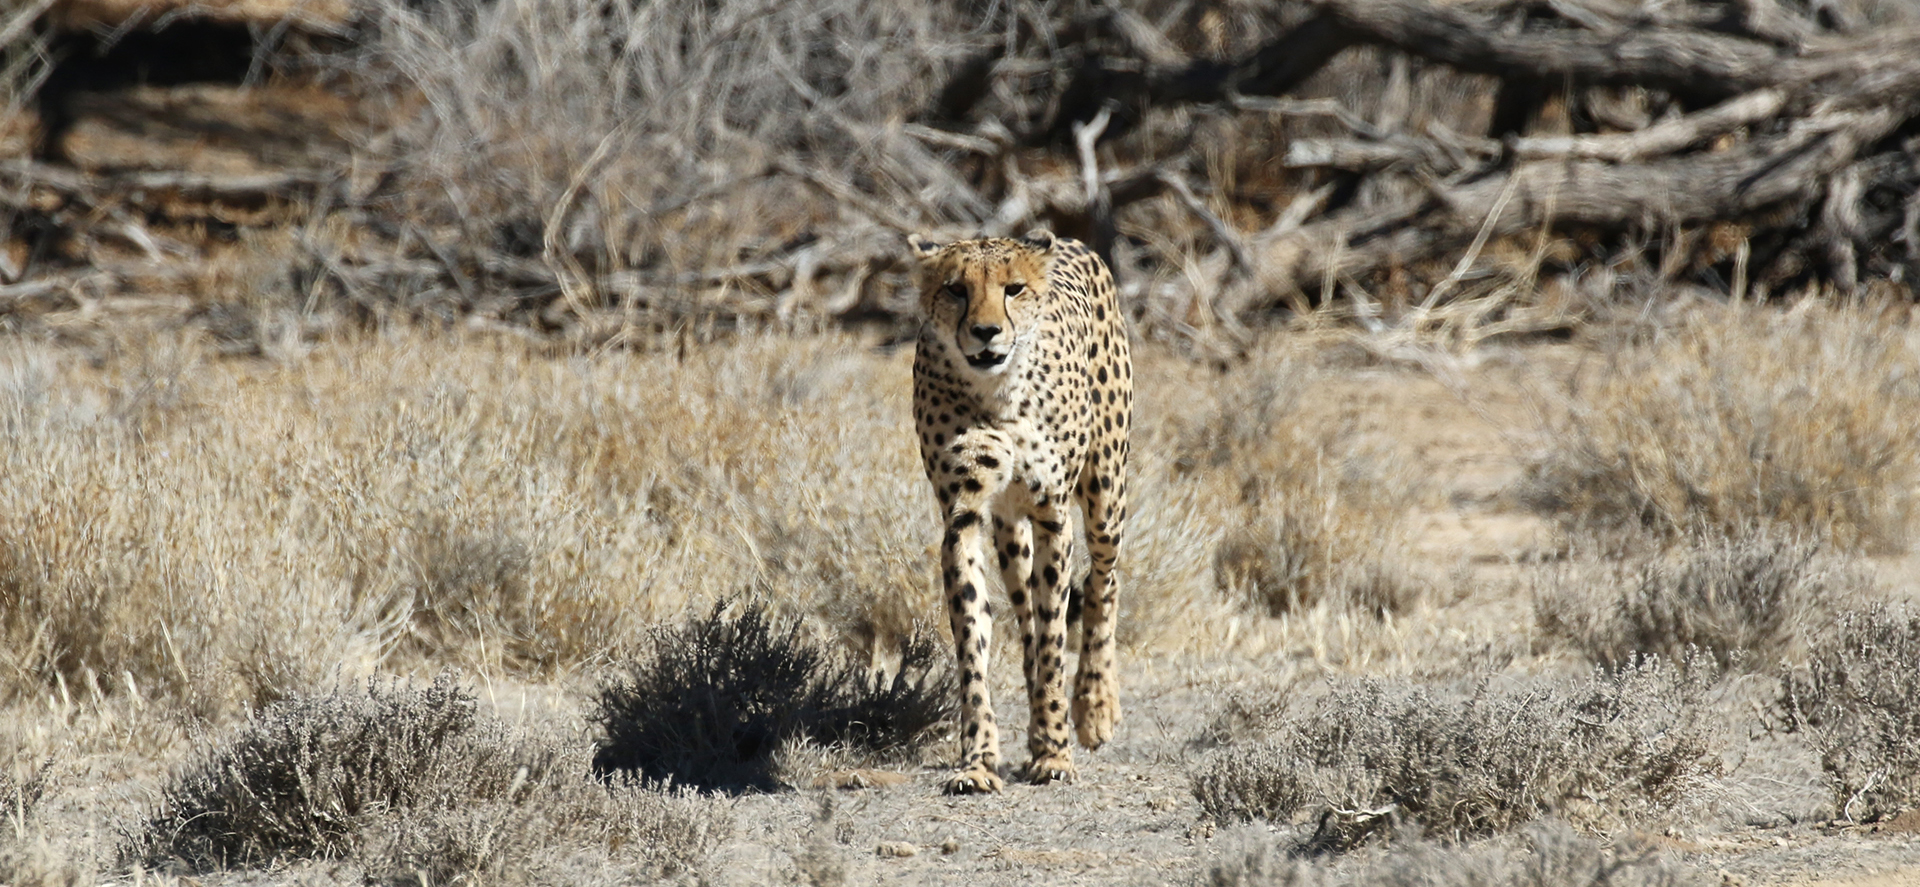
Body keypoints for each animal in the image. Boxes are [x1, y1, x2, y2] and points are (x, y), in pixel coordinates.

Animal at [906, 230, 1128, 798]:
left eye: (1014, 289)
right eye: (955, 289)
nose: (985, 332)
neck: (998, 394)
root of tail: (1067, 239)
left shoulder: (1052, 514)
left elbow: (1054, 637)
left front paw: (1055, 752)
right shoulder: (962, 515)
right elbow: (974, 638)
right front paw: (979, 761)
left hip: (1105, 494)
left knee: (1103, 581)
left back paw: (1094, 706)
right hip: (1009, 528)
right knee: (1025, 610)